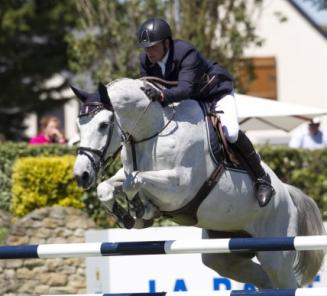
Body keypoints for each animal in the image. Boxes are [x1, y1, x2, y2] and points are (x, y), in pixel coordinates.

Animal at [73, 78, 326, 290]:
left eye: (103, 125)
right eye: (78, 126)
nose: (81, 175)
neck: (152, 132)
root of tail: (287, 194)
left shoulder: (179, 187)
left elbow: (135, 181)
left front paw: (140, 210)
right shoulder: (125, 174)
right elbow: (107, 187)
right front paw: (130, 216)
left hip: (276, 252)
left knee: (285, 281)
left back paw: (265, 190)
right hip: (225, 251)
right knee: (261, 279)